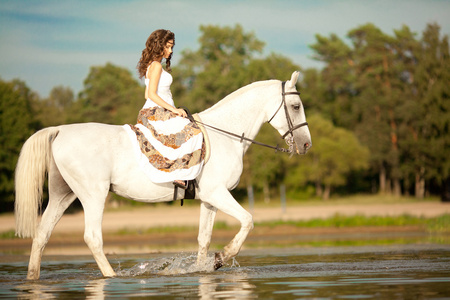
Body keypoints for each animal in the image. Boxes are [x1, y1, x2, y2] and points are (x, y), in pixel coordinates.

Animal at [14, 71, 310, 280]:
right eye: (296, 106)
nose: (306, 145)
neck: (226, 134)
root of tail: (61, 130)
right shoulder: (218, 193)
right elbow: (248, 221)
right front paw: (221, 257)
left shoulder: (209, 199)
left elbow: (203, 239)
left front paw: (202, 268)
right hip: (92, 195)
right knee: (92, 238)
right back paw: (112, 276)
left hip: (63, 195)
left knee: (41, 236)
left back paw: (32, 278)